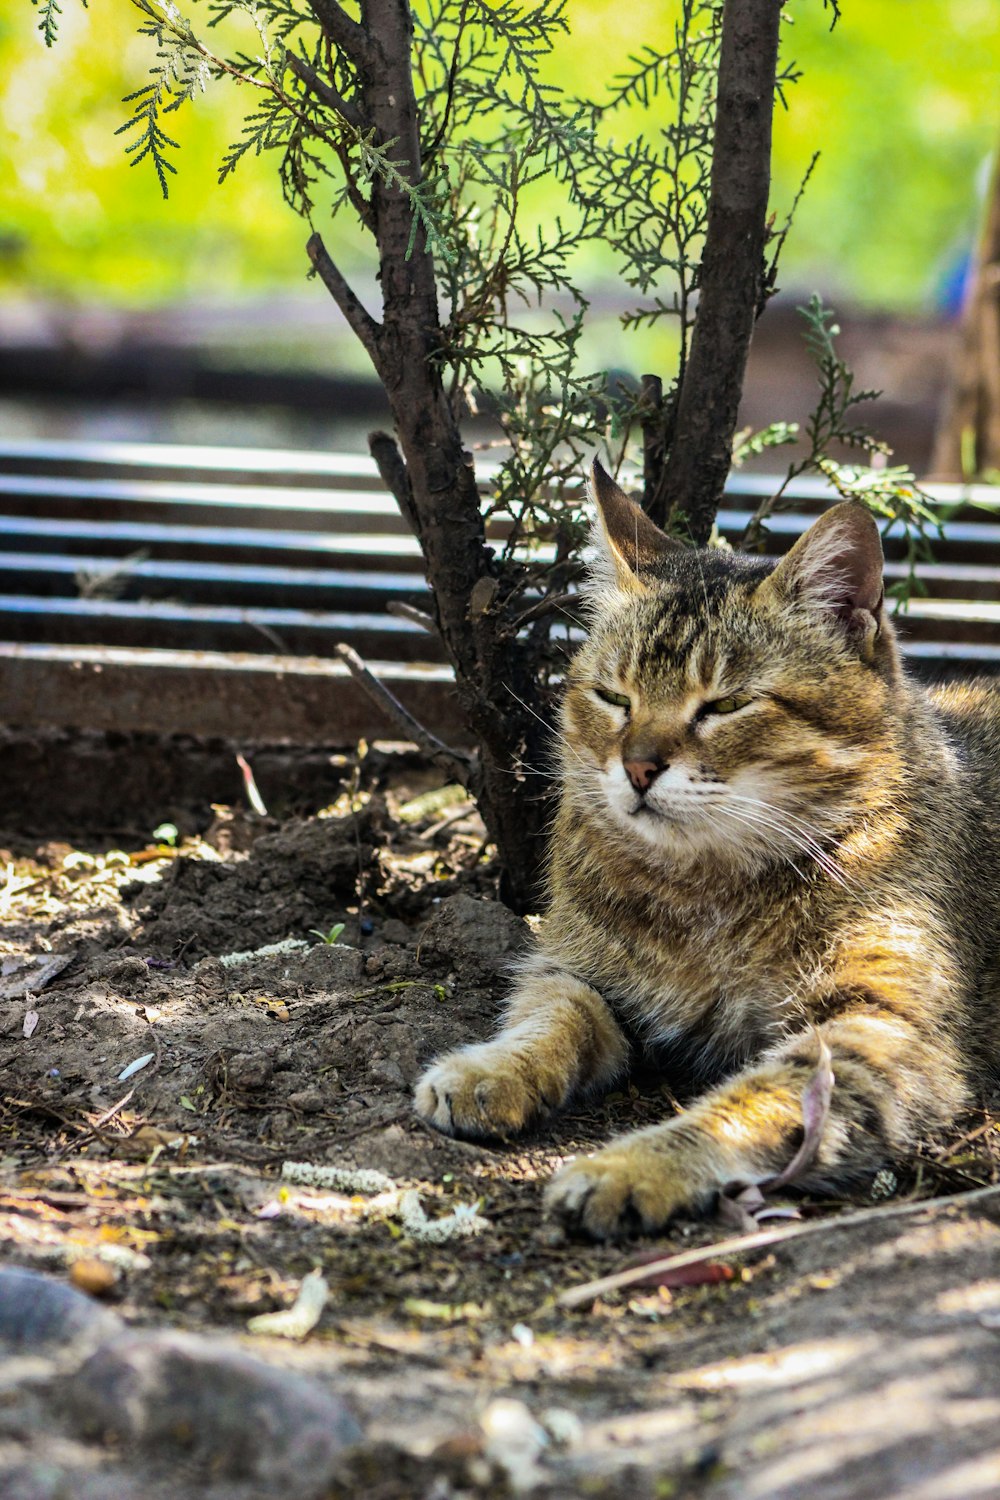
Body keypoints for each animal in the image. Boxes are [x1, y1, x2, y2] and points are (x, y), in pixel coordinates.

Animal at [413, 459, 1000, 1242]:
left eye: (725, 705)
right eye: (614, 697)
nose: (637, 767)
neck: (706, 888)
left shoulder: (876, 1025)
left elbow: (753, 1101)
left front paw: (636, 1165)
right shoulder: (578, 969)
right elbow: (550, 1014)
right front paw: (490, 1071)